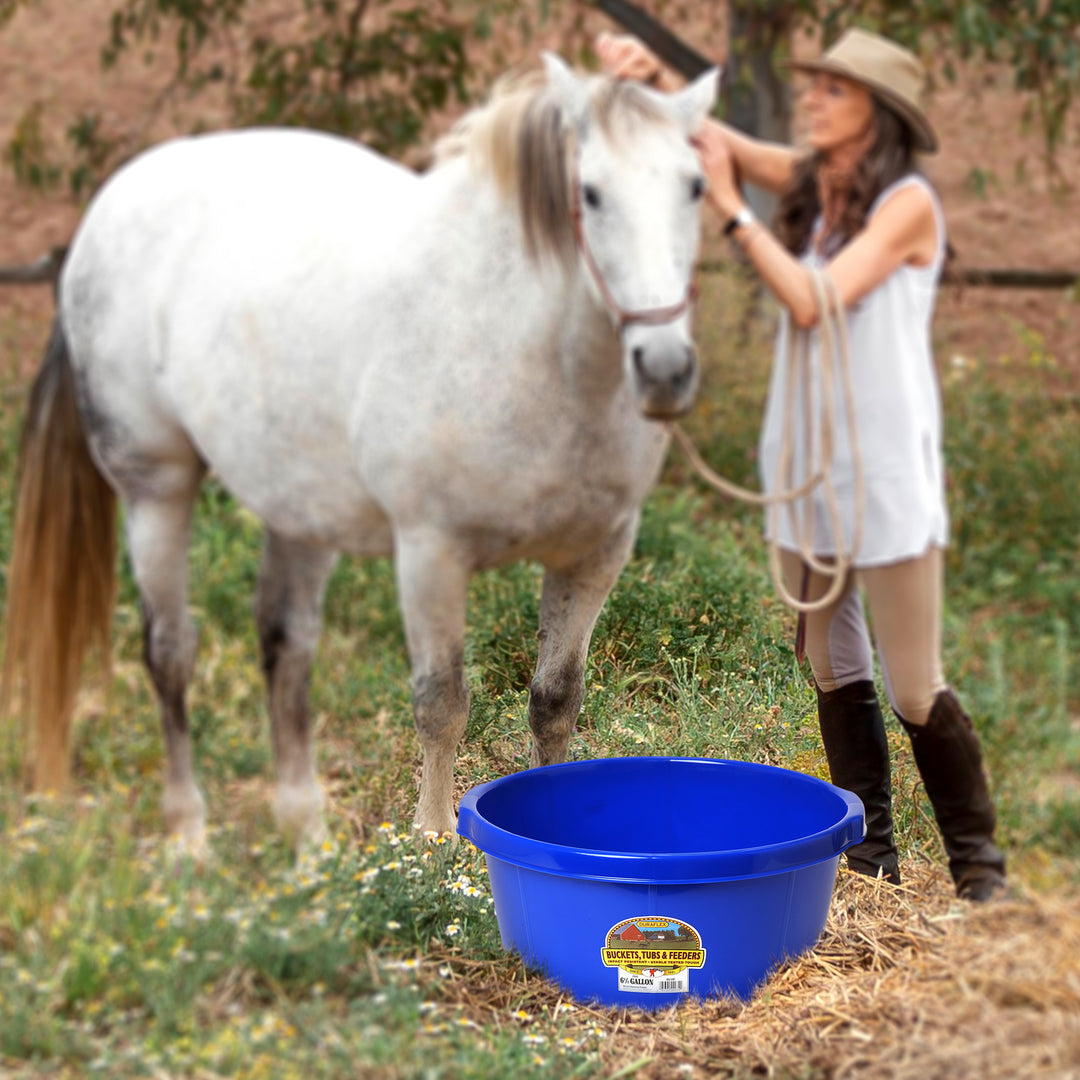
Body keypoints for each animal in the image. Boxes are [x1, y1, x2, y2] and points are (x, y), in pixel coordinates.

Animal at [6, 56, 725, 851]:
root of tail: (96, 225)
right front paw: (432, 844)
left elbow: (555, 701)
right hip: (156, 491)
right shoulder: (431, 554)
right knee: (170, 653)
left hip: (297, 507)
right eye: (590, 194)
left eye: (695, 187)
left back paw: (305, 841)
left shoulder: (593, 557)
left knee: (284, 647)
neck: (524, 345)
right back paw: (189, 836)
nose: (665, 369)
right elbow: (442, 702)